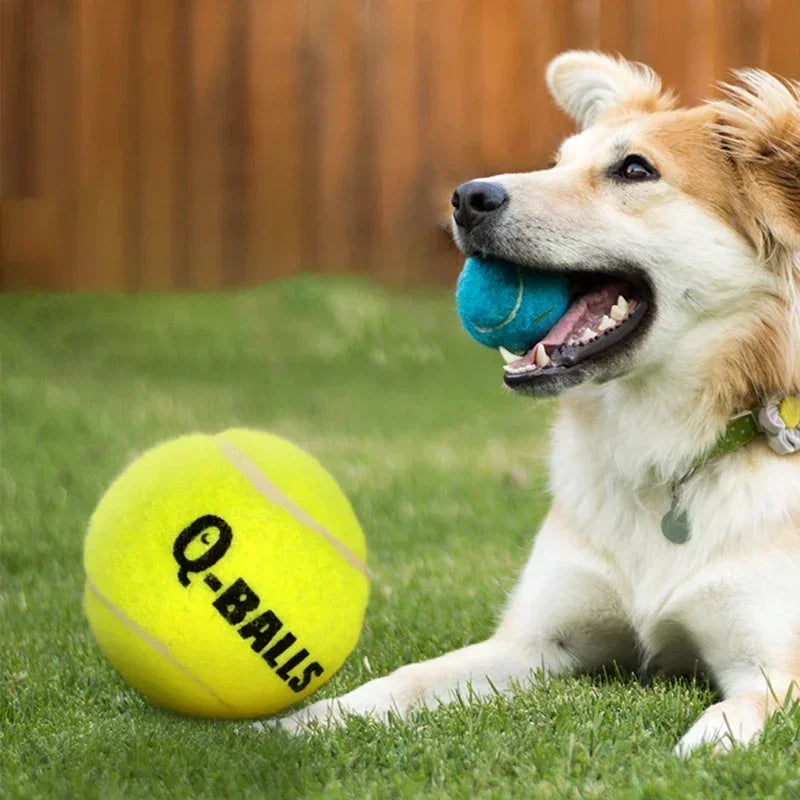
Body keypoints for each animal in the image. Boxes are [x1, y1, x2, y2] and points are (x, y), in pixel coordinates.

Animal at [276, 53, 800, 752]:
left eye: (636, 169)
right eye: (557, 163)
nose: (467, 197)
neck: (664, 449)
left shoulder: (771, 669)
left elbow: (729, 720)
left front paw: (701, 749)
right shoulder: (533, 642)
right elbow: (410, 678)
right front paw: (310, 719)